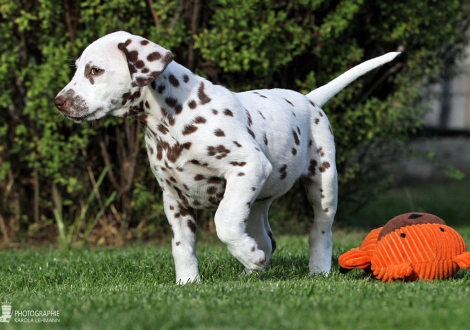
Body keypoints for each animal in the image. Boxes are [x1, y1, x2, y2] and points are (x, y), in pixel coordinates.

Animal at [54, 31, 400, 284]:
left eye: (95, 70)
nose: (59, 102)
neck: (172, 121)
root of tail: (309, 99)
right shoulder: (173, 196)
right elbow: (181, 245)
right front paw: (188, 282)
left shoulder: (247, 167)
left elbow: (224, 221)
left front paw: (246, 255)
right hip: (259, 200)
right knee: (267, 238)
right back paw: (251, 268)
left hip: (323, 184)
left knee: (320, 231)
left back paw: (316, 269)